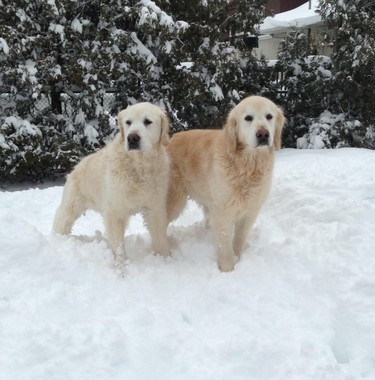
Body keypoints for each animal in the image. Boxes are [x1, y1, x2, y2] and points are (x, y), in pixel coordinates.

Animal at [53, 102, 170, 260]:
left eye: (147, 121)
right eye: (128, 122)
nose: (132, 138)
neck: (139, 167)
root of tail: (77, 166)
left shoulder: (155, 208)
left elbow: (160, 240)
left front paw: (166, 259)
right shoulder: (114, 212)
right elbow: (118, 247)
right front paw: (122, 265)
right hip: (70, 208)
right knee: (60, 222)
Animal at [167, 96, 284, 272]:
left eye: (269, 116)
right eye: (248, 118)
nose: (263, 134)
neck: (247, 165)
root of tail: (170, 140)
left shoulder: (250, 211)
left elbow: (239, 239)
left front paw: (239, 258)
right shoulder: (223, 211)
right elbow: (225, 243)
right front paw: (228, 268)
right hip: (175, 201)